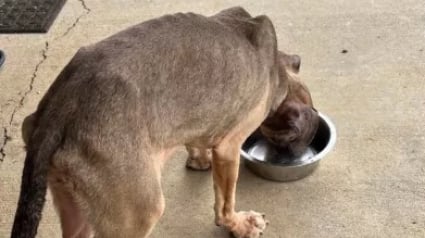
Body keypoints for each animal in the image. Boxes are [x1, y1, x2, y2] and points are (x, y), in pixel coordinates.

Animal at [10, 6, 318, 237]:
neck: (276, 71)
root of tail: (59, 108)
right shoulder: (229, 148)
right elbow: (225, 202)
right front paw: (239, 225)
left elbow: (196, 139)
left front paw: (199, 158)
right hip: (139, 213)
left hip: (73, 202)